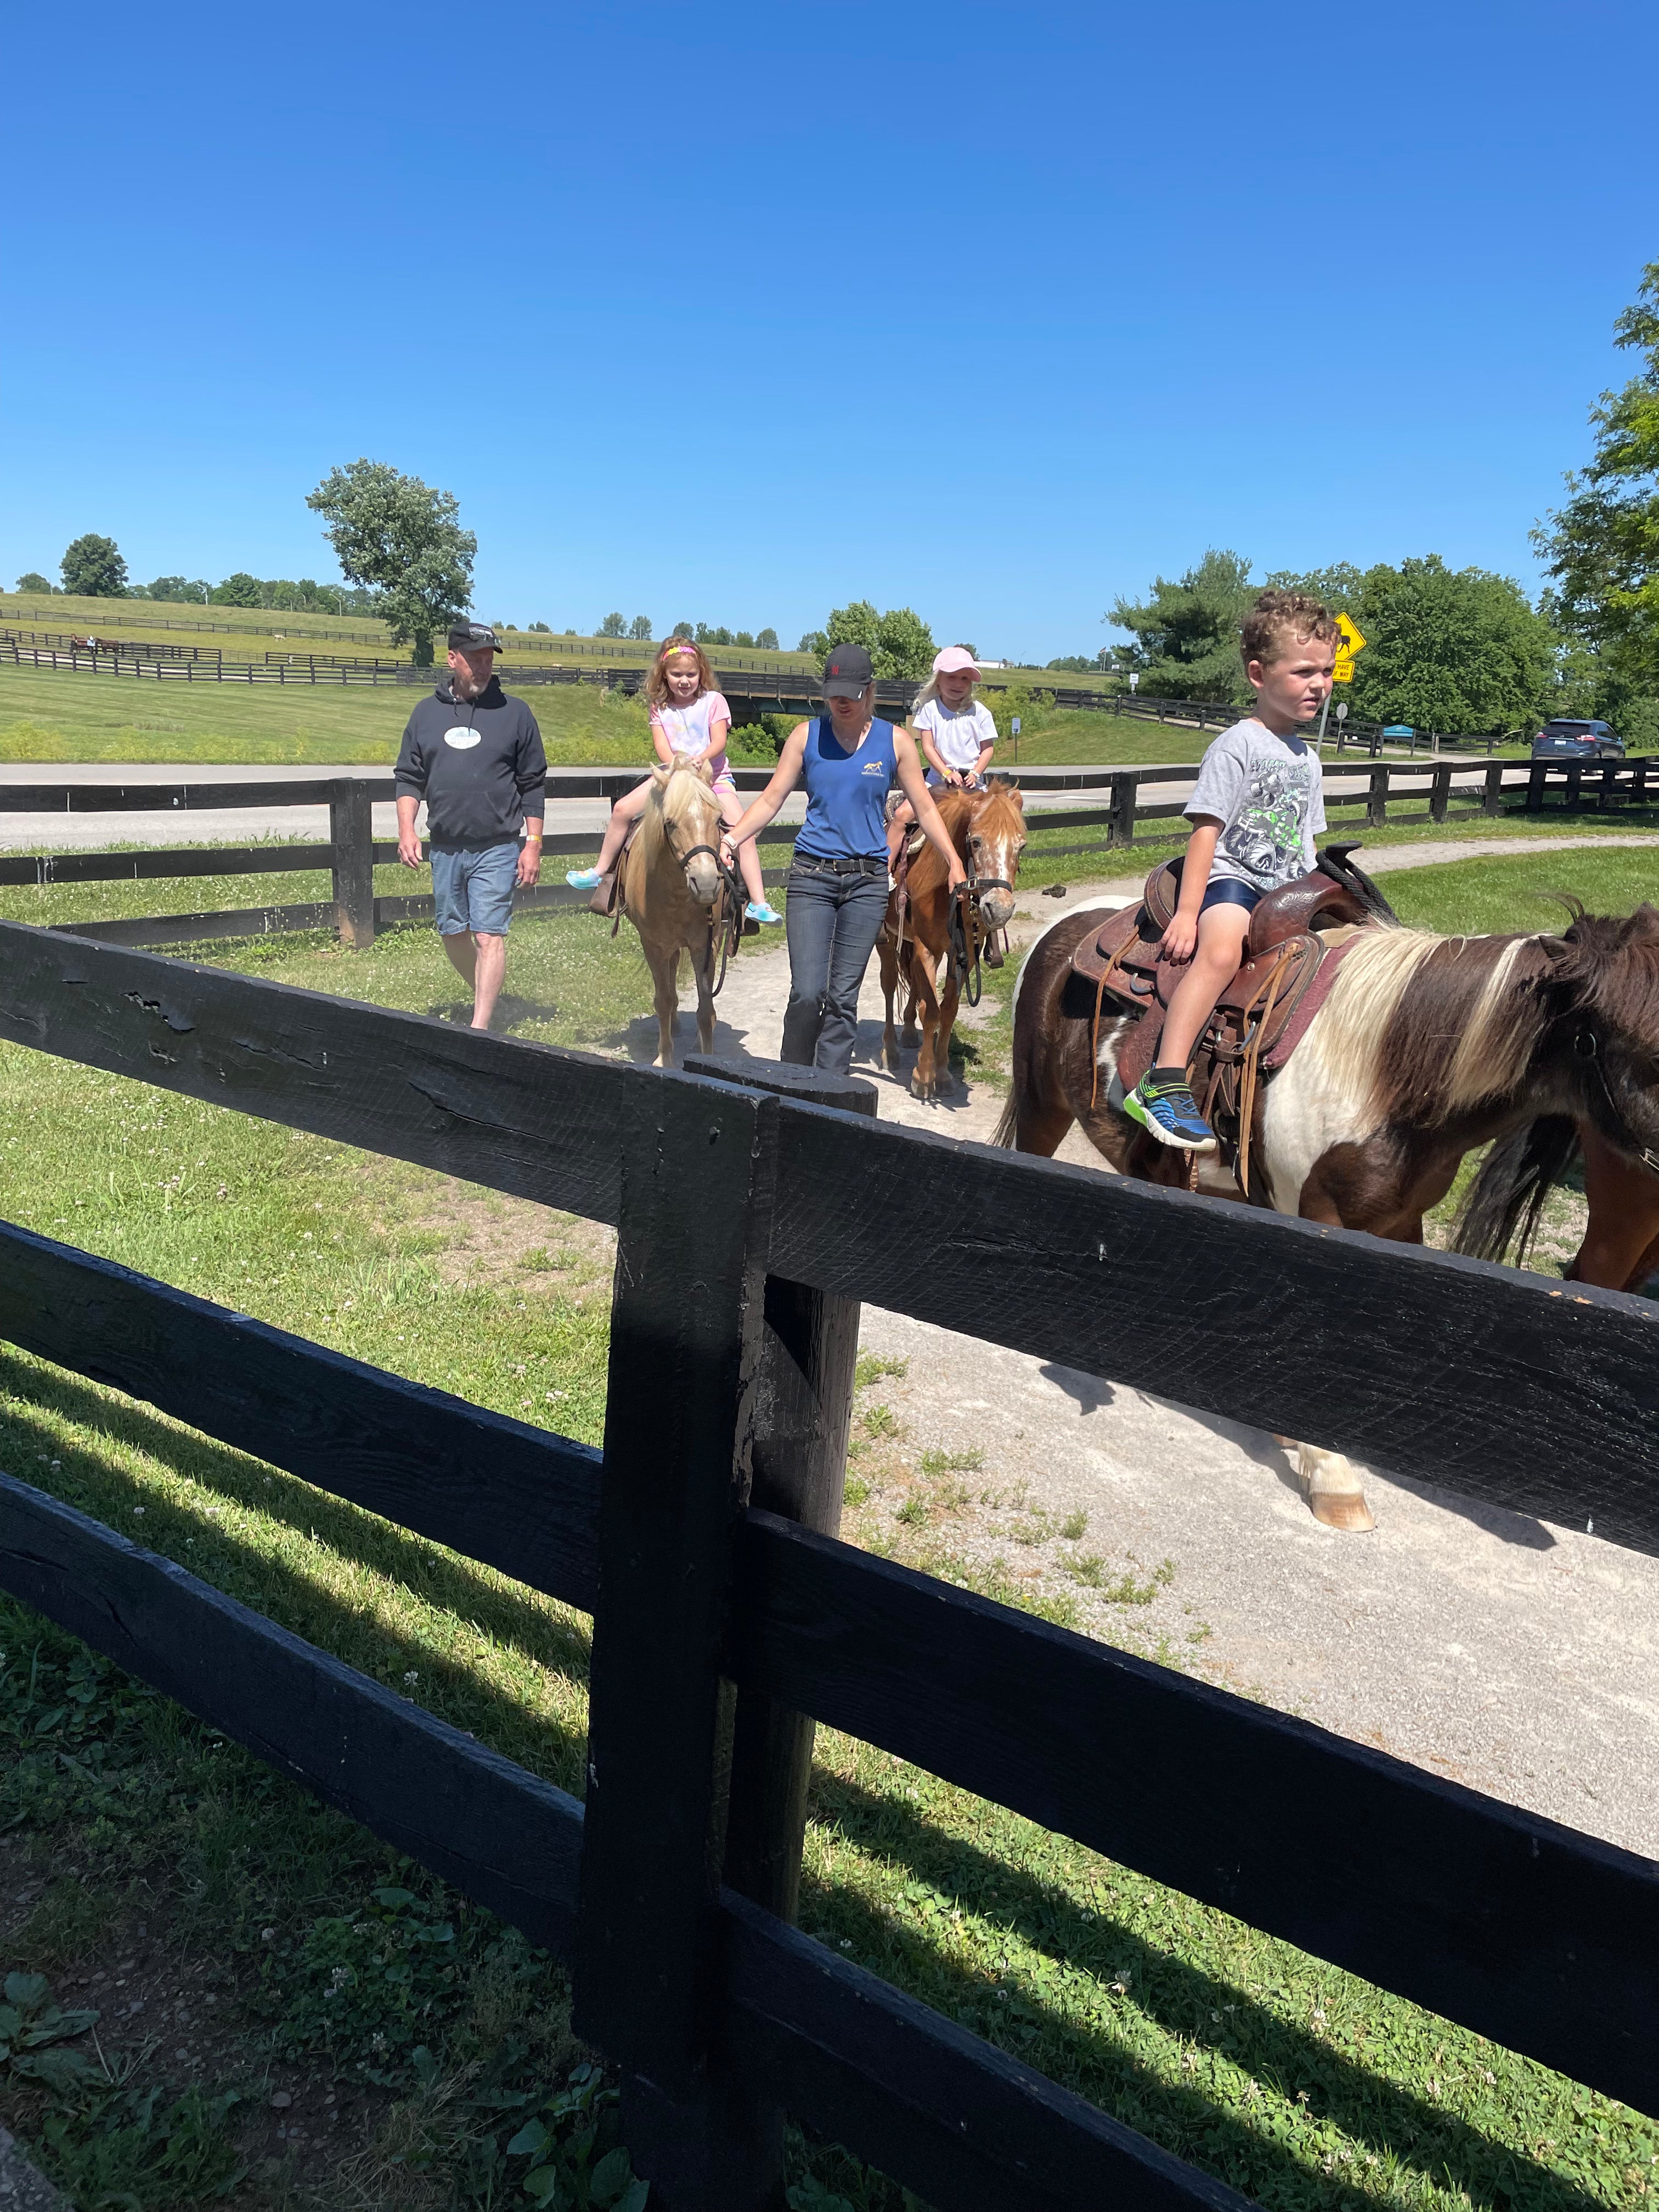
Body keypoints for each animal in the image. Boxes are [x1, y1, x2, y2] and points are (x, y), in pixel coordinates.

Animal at [619, 756, 730, 1075]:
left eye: (719, 821)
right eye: (669, 823)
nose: (706, 884)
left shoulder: (704, 944)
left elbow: (705, 1006)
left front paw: (706, 1055)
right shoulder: (653, 945)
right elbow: (663, 1000)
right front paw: (664, 1058)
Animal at [884, 778, 1026, 1097]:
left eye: (1021, 846)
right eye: (976, 842)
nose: (999, 909)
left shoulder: (963, 954)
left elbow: (948, 1011)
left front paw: (942, 1073)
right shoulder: (928, 949)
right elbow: (932, 1011)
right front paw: (923, 1076)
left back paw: (908, 1032)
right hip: (884, 939)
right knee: (889, 989)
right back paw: (890, 1051)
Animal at [1008, 889, 1659, 1531]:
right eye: (1650, 1052)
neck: (1382, 1074)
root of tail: (1072, 920)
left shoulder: (1399, 1225)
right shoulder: (1318, 1217)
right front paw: (1333, 1476)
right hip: (1042, 1109)